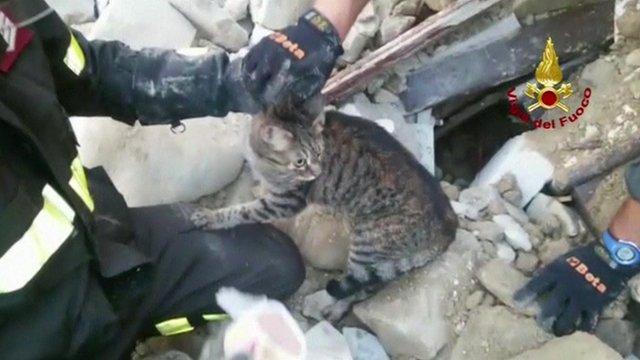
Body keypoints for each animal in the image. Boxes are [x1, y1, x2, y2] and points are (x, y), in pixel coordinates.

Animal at [191, 101, 460, 320]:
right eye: (300, 161)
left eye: (319, 154)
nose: (317, 172)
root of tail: (450, 224)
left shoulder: (286, 201)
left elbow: (243, 211)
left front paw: (212, 216)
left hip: (366, 245)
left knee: (361, 288)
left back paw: (327, 305)